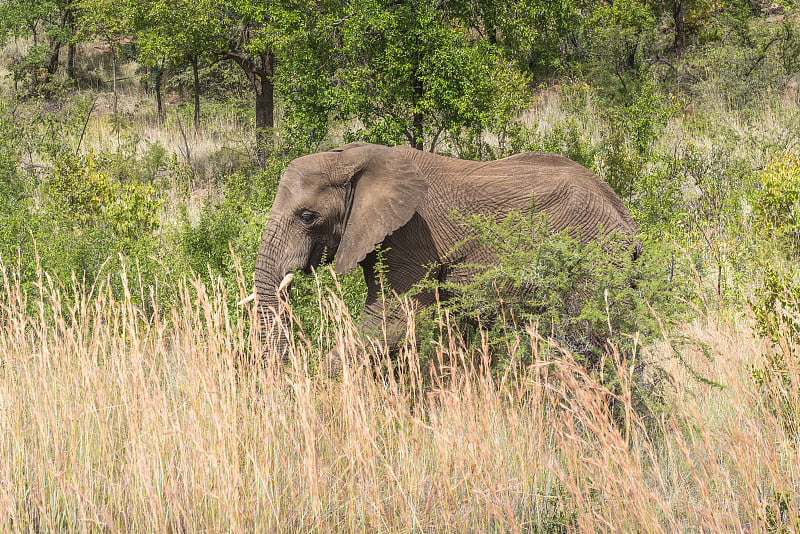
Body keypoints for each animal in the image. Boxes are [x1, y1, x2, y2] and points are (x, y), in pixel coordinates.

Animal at [244, 142, 636, 374]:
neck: (356, 158)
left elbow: (388, 320)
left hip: (595, 254)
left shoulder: (411, 232)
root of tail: (628, 219)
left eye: (308, 217)